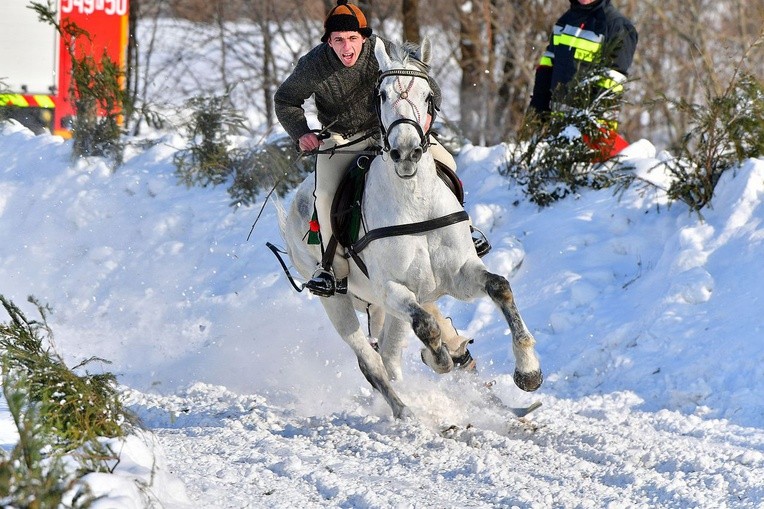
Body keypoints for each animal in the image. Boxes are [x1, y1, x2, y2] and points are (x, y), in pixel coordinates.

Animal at [282, 35, 544, 416]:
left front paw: (528, 372)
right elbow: (426, 325)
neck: (414, 202)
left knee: (391, 355)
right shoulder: (390, 289)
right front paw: (439, 359)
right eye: (381, 95)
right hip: (336, 301)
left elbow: (499, 287)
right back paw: (405, 411)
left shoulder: (459, 274)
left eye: (427, 96)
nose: (406, 152)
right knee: (372, 362)